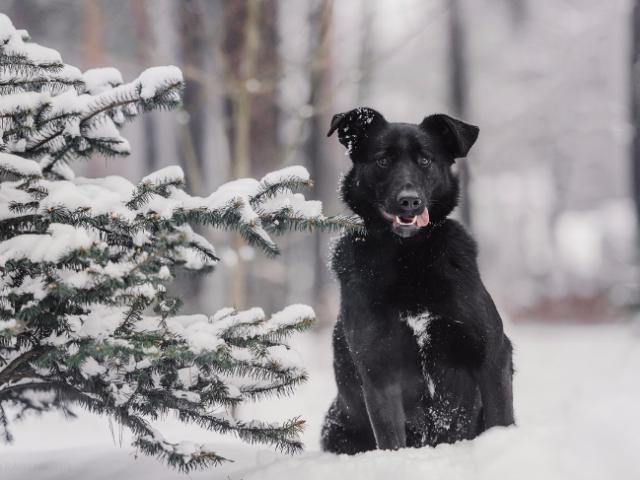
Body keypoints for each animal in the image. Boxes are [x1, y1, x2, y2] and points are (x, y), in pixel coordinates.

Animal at [320, 108, 516, 454]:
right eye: (383, 160)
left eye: (425, 160)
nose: (408, 201)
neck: (408, 257)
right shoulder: (379, 373)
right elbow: (391, 439)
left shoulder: (492, 356)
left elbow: (500, 419)